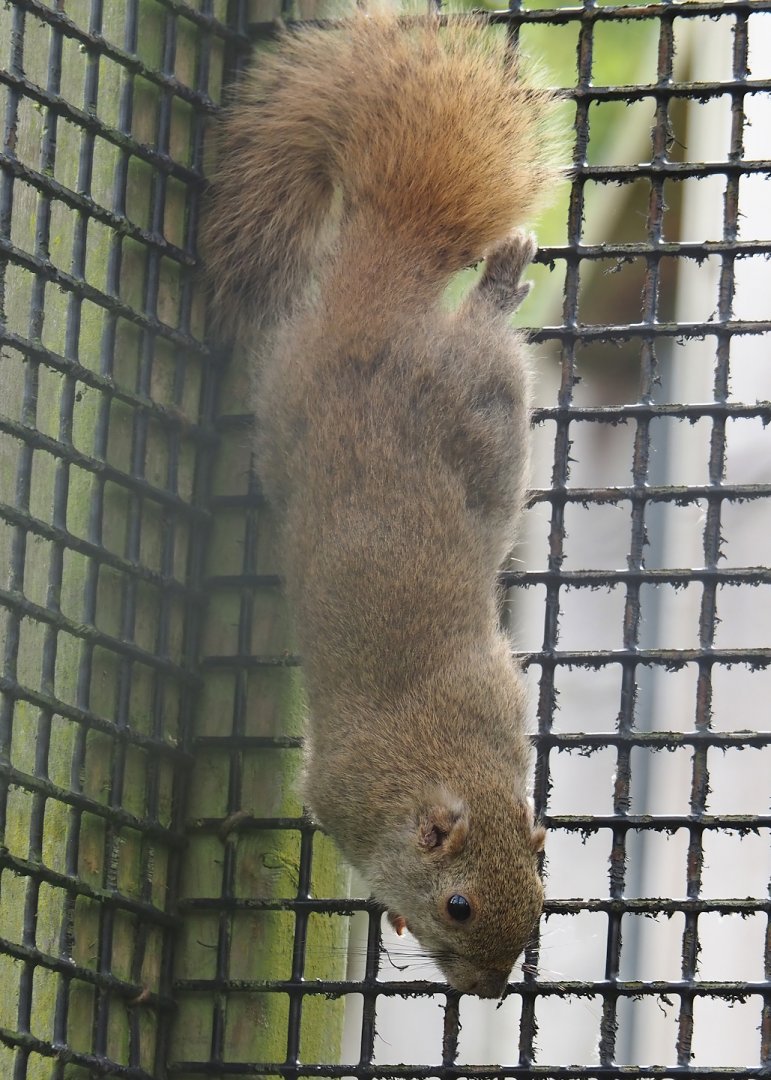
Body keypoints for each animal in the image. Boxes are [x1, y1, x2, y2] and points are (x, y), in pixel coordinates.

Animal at [204, 10, 561, 998]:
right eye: (458, 906)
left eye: (543, 903)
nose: (487, 990)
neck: (444, 760)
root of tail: (376, 296)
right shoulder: (337, 790)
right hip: (478, 396)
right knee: (481, 333)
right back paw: (497, 283)